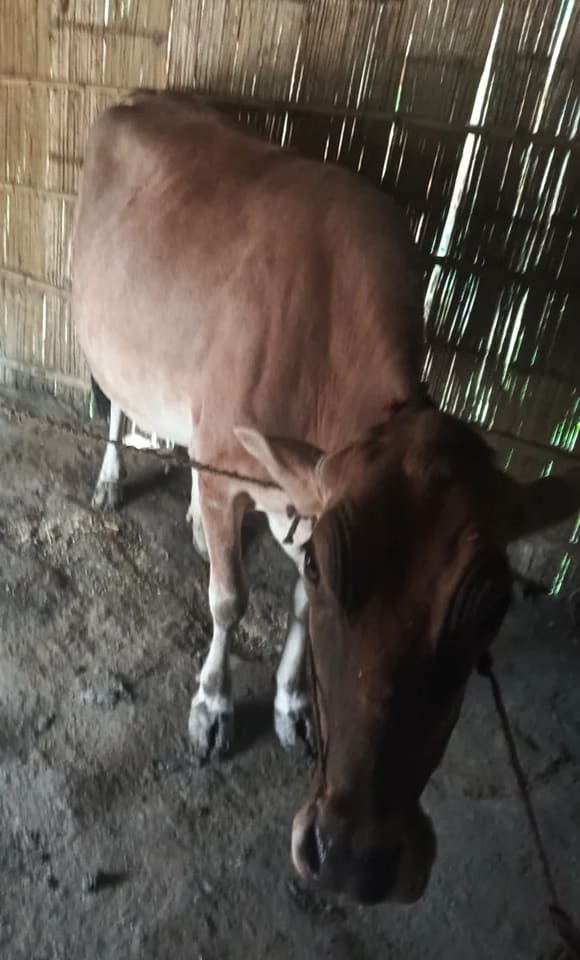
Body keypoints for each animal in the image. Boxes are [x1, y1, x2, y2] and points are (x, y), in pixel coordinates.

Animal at [73, 91, 580, 905]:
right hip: (107, 335)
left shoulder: (304, 500)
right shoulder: (232, 475)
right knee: (118, 401)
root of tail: (146, 96)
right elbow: (229, 602)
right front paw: (213, 709)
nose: (354, 858)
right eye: (327, 566)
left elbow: (296, 615)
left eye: (493, 606)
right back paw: (114, 480)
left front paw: (292, 706)